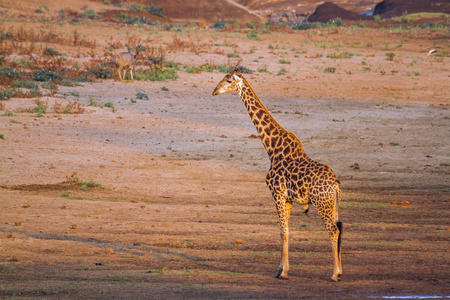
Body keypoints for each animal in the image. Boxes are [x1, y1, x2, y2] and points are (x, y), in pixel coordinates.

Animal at [213, 68, 342, 282]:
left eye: (229, 80)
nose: (214, 90)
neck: (271, 148)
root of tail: (337, 185)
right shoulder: (287, 198)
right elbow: (284, 231)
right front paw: (280, 269)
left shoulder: (277, 193)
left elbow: (283, 232)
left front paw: (284, 271)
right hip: (333, 204)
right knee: (340, 227)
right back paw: (339, 271)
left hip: (322, 203)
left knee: (332, 230)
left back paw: (334, 274)